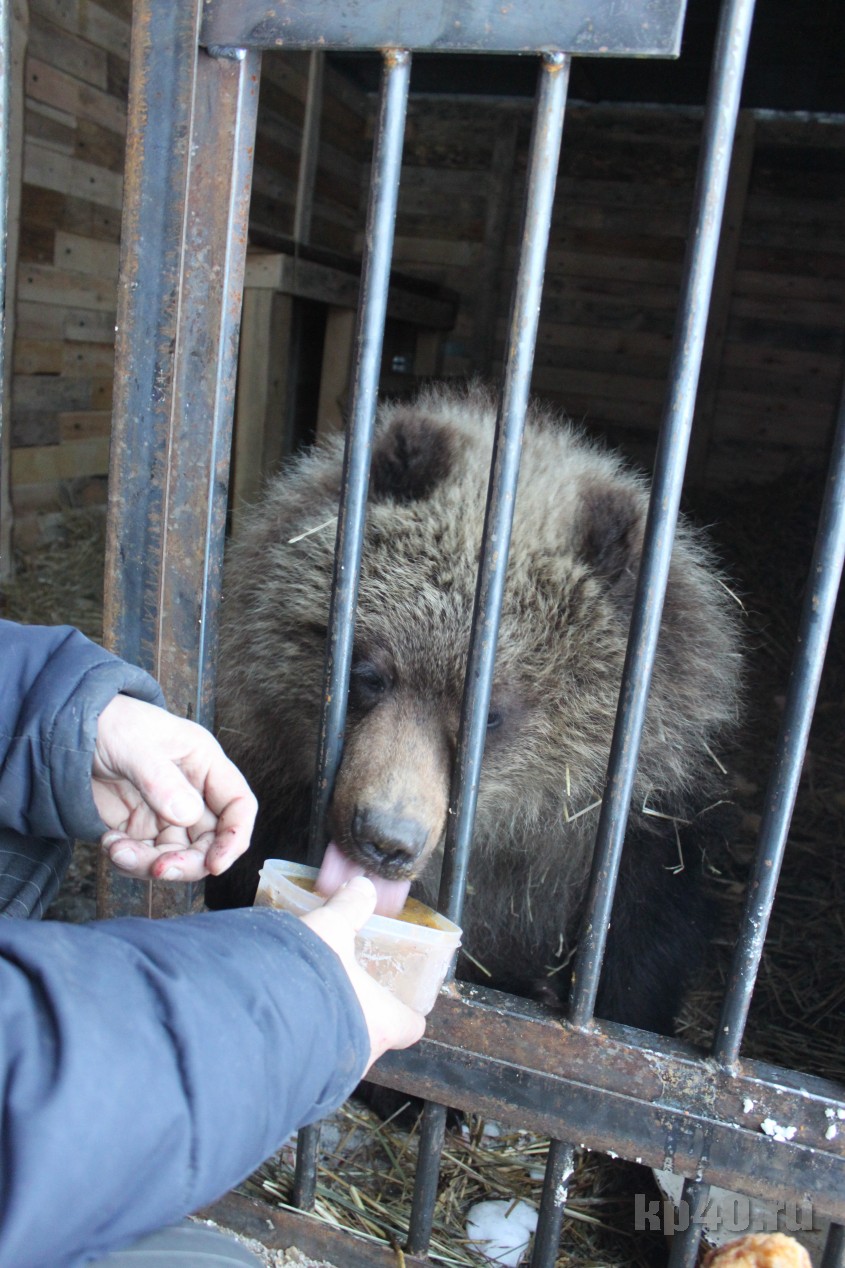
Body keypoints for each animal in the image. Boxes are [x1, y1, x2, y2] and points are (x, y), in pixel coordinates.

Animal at [207, 382, 742, 1034]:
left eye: (489, 712)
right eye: (369, 674)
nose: (387, 839)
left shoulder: (642, 850)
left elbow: (638, 968)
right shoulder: (271, 774)